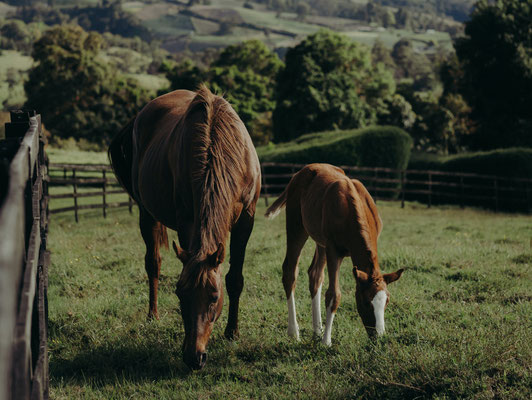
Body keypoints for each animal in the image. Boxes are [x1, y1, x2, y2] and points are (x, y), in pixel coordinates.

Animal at [107, 86, 260, 370]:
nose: (194, 357)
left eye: (214, 297)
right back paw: (152, 315)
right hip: (146, 213)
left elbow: (235, 278)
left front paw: (232, 332)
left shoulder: (246, 219)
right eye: (179, 294)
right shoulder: (187, 221)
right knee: (153, 263)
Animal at [264, 164, 406, 346]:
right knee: (290, 271)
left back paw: (317, 330)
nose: (378, 336)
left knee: (315, 274)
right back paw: (294, 332)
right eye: (366, 302)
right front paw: (326, 342)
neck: (352, 208)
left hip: (320, 241)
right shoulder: (333, 250)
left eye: (387, 301)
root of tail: (301, 172)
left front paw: (322, 336)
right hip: (297, 226)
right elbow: (334, 294)